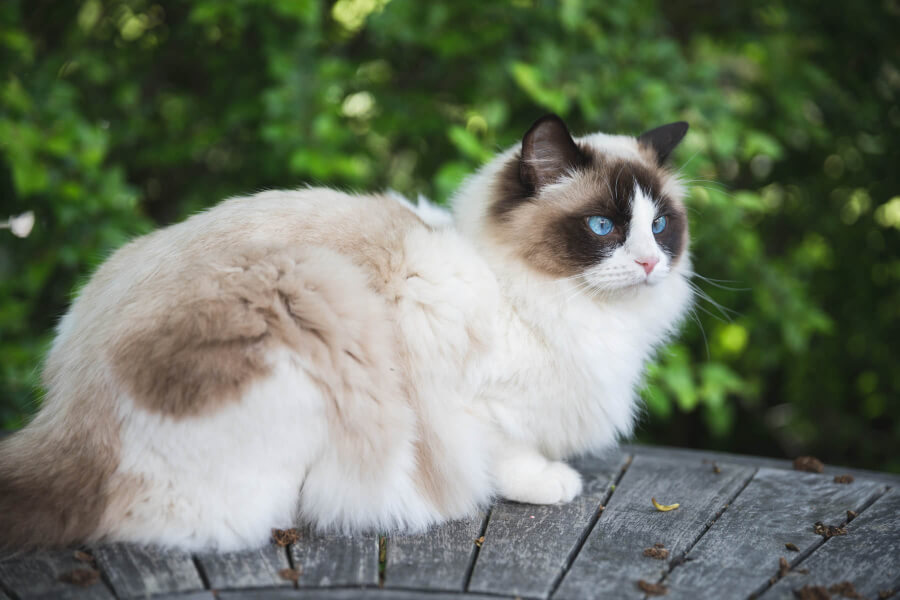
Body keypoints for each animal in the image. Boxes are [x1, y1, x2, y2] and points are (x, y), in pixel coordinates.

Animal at [0, 113, 692, 552]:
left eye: (659, 226)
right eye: (603, 227)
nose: (650, 263)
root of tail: (67, 414)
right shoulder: (473, 399)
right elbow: (506, 455)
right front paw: (553, 483)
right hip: (314, 295)